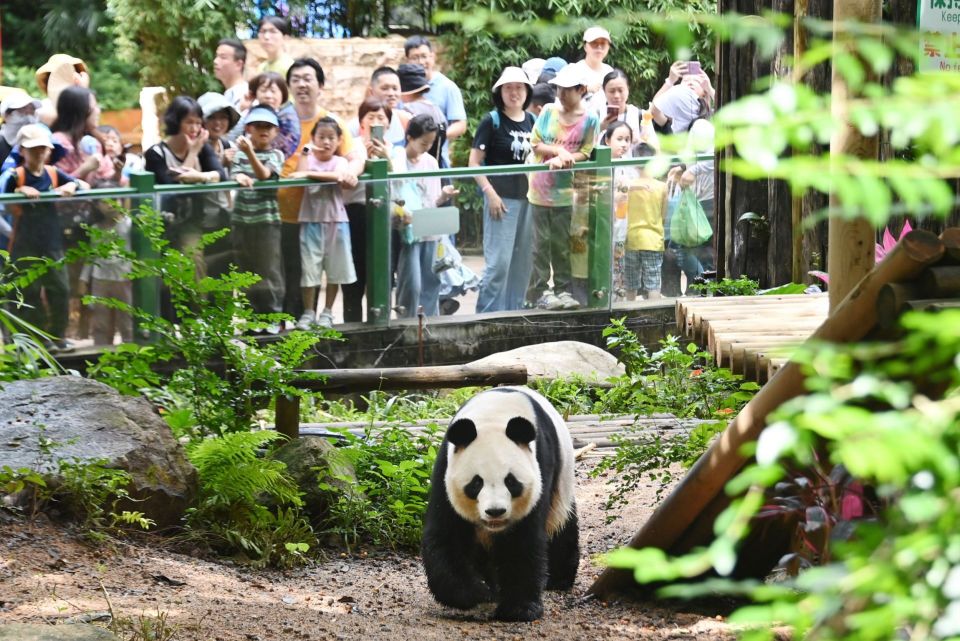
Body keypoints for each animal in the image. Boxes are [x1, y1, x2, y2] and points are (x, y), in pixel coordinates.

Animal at [422, 384, 576, 620]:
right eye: (476, 483)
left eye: (511, 481)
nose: (495, 511)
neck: (493, 416)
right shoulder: (445, 471)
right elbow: (447, 535)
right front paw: (474, 593)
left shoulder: (541, 465)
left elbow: (522, 542)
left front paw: (520, 609)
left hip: (562, 484)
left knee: (561, 527)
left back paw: (558, 579)